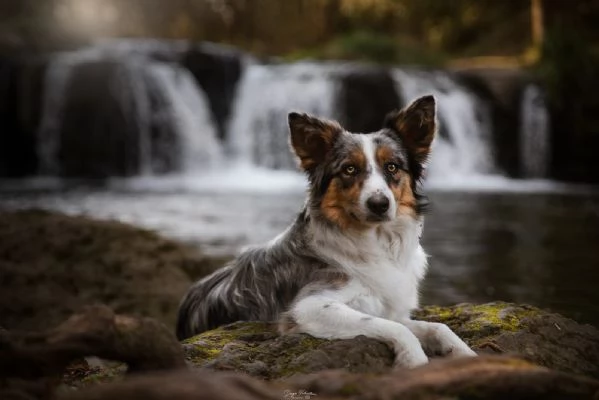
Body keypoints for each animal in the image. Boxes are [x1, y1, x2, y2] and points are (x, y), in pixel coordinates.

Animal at [176, 95, 476, 368]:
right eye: (349, 169)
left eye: (392, 166)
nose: (379, 204)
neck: (376, 242)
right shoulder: (308, 307)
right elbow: (395, 328)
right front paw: (414, 361)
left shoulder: (390, 307)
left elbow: (437, 327)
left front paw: (465, 356)